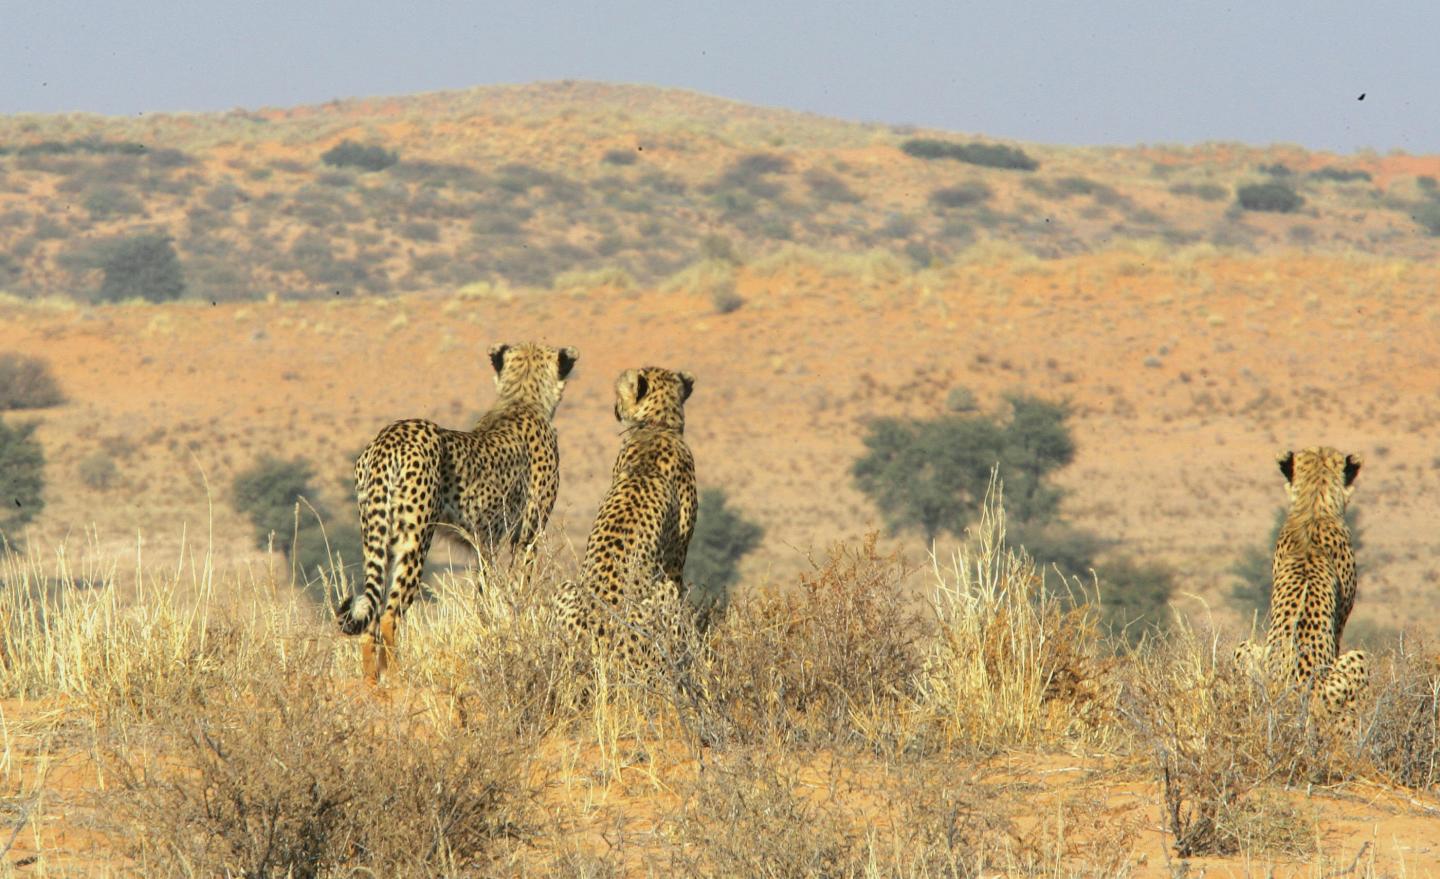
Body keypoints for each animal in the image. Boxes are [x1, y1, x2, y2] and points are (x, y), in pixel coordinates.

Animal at [336, 338, 578, 680]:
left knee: (371, 616)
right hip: (416, 540)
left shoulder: (485, 544)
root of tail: (391, 436)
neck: (521, 399)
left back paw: (371, 681)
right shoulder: (527, 537)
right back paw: (398, 676)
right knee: (388, 614)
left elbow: (485, 593)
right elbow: (519, 589)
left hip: (376, 537)